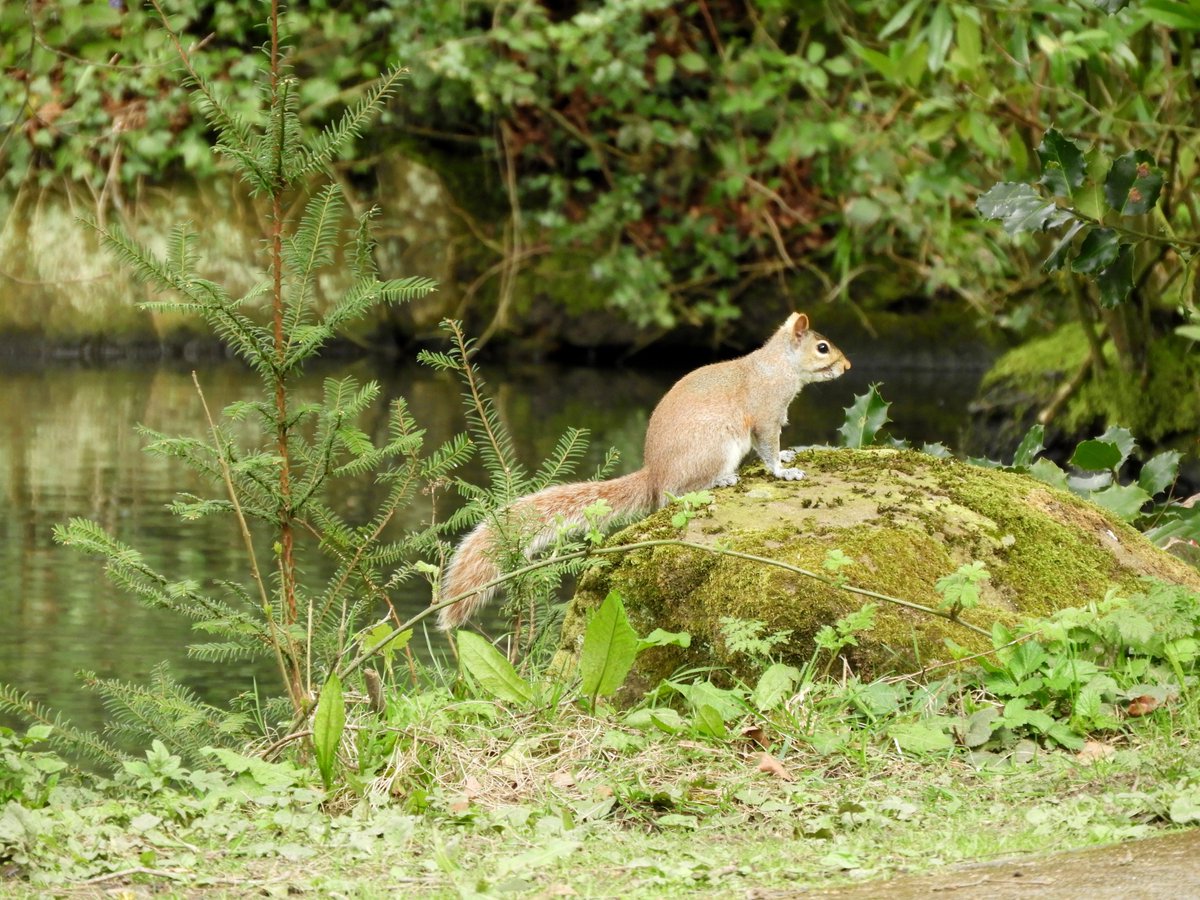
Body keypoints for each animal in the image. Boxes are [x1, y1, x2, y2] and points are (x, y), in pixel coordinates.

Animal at [441, 314, 854, 628]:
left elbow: (776, 447)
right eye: (822, 347)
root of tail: (654, 473)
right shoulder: (766, 413)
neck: (779, 366)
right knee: (675, 493)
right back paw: (719, 479)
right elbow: (767, 446)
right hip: (713, 446)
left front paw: (788, 456)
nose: (848, 367)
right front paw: (782, 472)